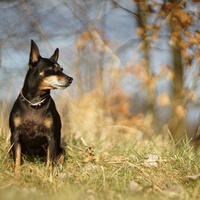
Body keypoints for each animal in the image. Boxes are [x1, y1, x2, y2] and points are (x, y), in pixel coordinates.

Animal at [9, 40, 72, 172]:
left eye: (62, 69)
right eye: (52, 68)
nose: (70, 79)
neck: (35, 103)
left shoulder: (52, 137)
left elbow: (50, 159)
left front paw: (49, 174)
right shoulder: (15, 135)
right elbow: (17, 158)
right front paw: (17, 173)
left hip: (61, 151)